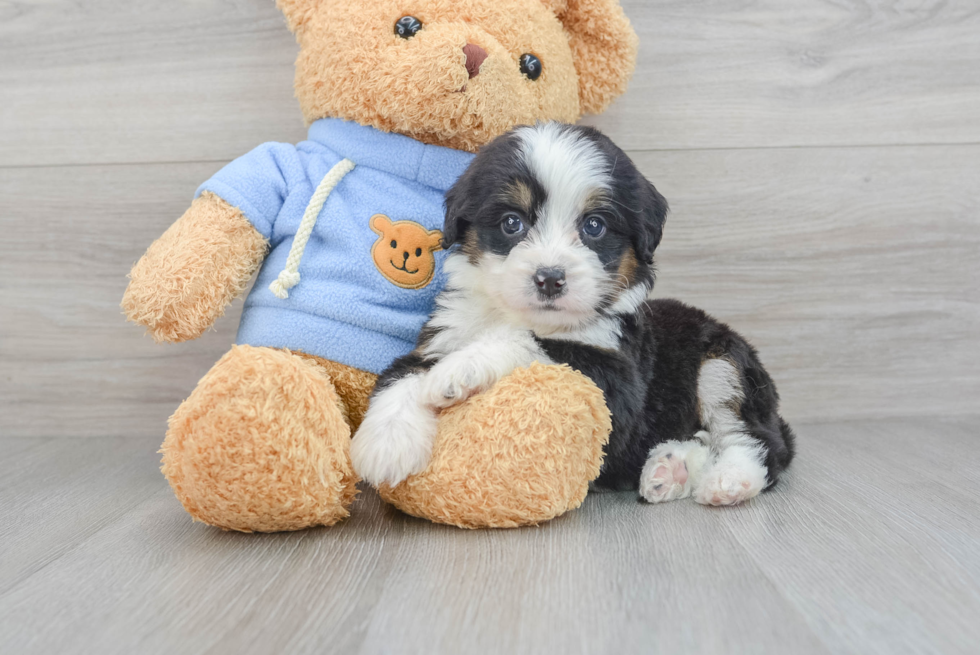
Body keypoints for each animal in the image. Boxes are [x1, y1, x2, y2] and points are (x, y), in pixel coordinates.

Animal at [352, 123, 796, 508]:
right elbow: (401, 374)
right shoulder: (442, 335)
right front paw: (386, 443)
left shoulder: (618, 382)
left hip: (724, 364)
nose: (550, 278)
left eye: (594, 226)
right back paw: (670, 470)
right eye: (512, 223)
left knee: (756, 440)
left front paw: (460, 369)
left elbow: (529, 342)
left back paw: (729, 481)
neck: (526, 315)